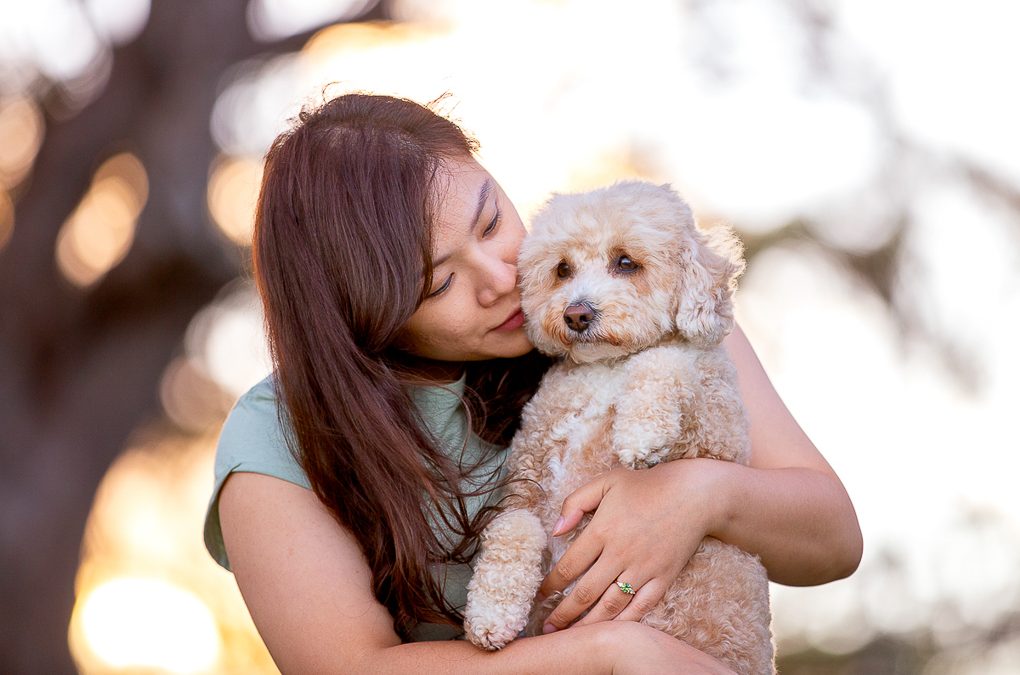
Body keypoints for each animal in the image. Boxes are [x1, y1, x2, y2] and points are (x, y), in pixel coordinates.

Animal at [467, 181, 775, 675]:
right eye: (562, 269)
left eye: (626, 262)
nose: (576, 314)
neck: (606, 369)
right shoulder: (527, 488)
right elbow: (513, 529)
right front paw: (491, 616)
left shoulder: (716, 432)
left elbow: (667, 358)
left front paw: (639, 434)